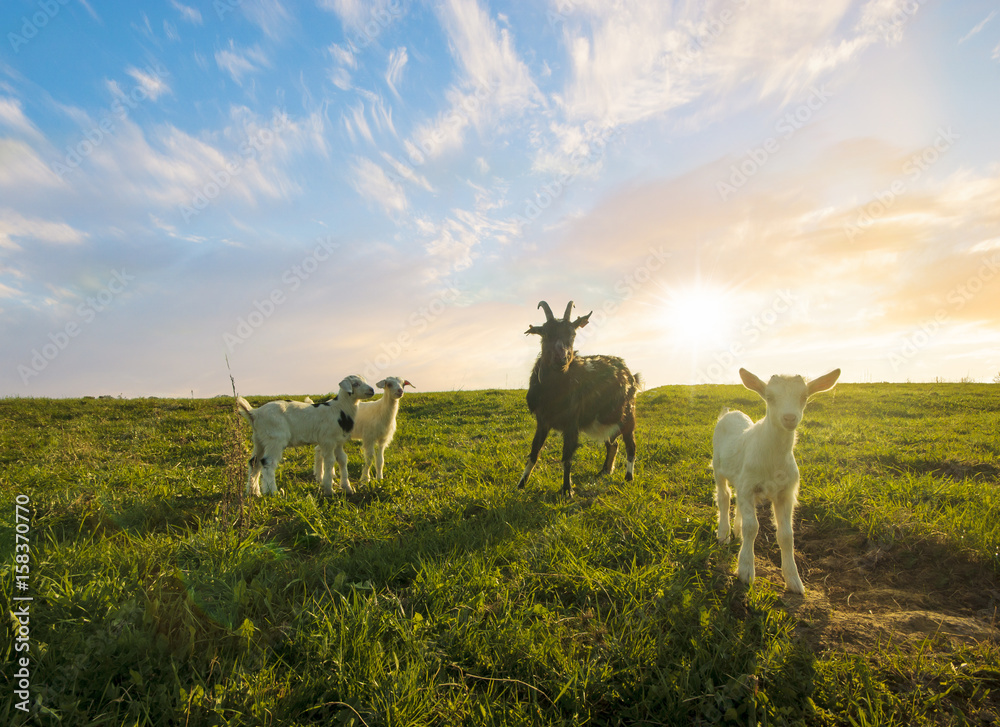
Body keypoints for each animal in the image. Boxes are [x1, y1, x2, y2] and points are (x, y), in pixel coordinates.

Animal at [237, 375, 376, 497]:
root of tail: (254, 413)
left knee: (254, 462)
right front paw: (329, 489)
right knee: (267, 463)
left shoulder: (338, 442)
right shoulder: (328, 441)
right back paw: (274, 492)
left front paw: (348, 488)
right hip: (275, 439)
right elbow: (330, 461)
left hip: (259, 439)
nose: (372, 390)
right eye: (355, 384)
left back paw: (253, 492)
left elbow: (342, 460)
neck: (340, 409)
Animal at [517, 300, 641, 497]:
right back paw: (605, 470)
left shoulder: (572, 422)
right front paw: (521, 484)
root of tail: (630, 373)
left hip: (628, 415)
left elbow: (567, 457)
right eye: (546, 333)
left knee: (631, 446)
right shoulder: (542, 421)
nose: (561, 358)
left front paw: (567, 490)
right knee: (612, 444)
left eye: (573, 333)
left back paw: (629, 478)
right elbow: (534, 452)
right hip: (608, 421)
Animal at [712, 367, 841, 594]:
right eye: (770, 397)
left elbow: (787, 535)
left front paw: (794, 581)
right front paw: (746, 571)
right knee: (724, 496)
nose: (789, 417)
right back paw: (724, 535)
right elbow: (752, 527)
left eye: (804, 396)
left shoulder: (784, 493)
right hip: (718, 467)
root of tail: (729, 413)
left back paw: (736, 532)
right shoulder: (749, 486)